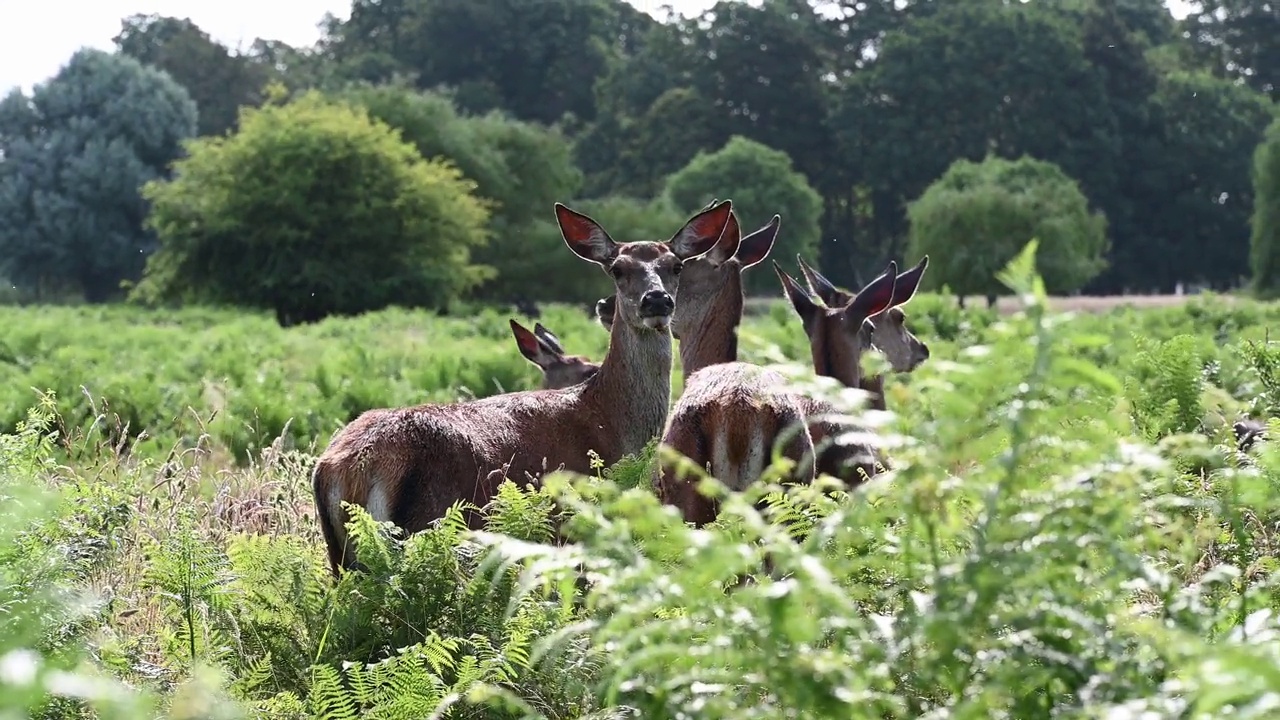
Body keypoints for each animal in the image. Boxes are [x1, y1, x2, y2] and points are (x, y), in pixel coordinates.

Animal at [311, 198, 737, 573]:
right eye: (617, 268)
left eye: (676, 266)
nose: (656, 300)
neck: (609, 422)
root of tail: (336, 468)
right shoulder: (573, 521)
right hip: (424, 524)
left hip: (342, 557)